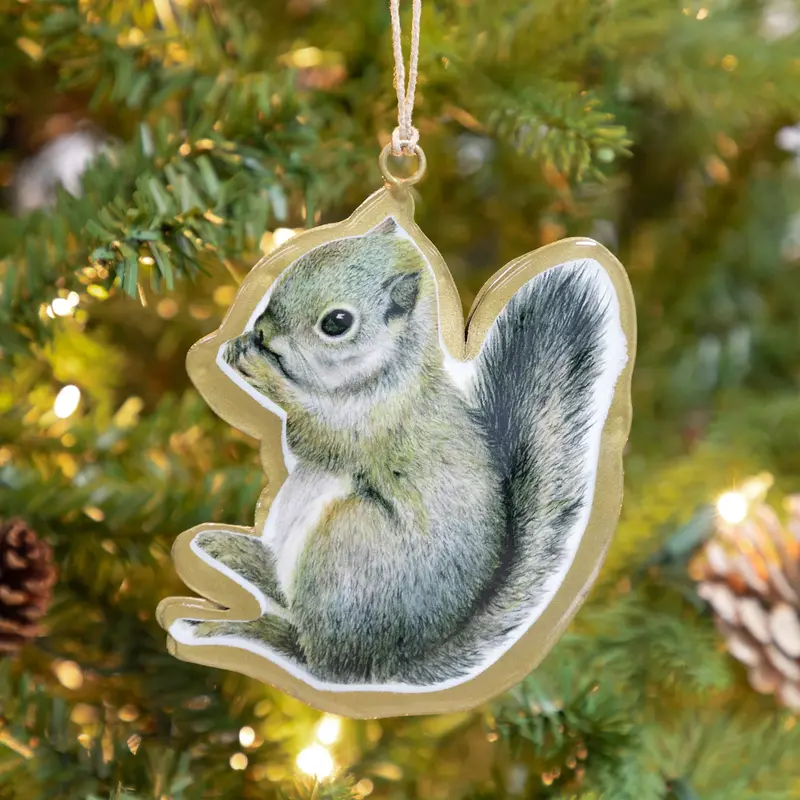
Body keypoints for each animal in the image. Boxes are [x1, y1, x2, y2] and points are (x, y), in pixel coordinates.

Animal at [174, 217, 627, 687]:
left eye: (337, 323)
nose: (262, 332)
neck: (385, 369)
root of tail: (388, 667)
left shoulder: (378, 420)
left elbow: (316, 432)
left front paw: (262, 370)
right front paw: (238, 347)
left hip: (348, 551)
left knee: (319, 661)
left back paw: (255, 630)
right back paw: (232, 550)